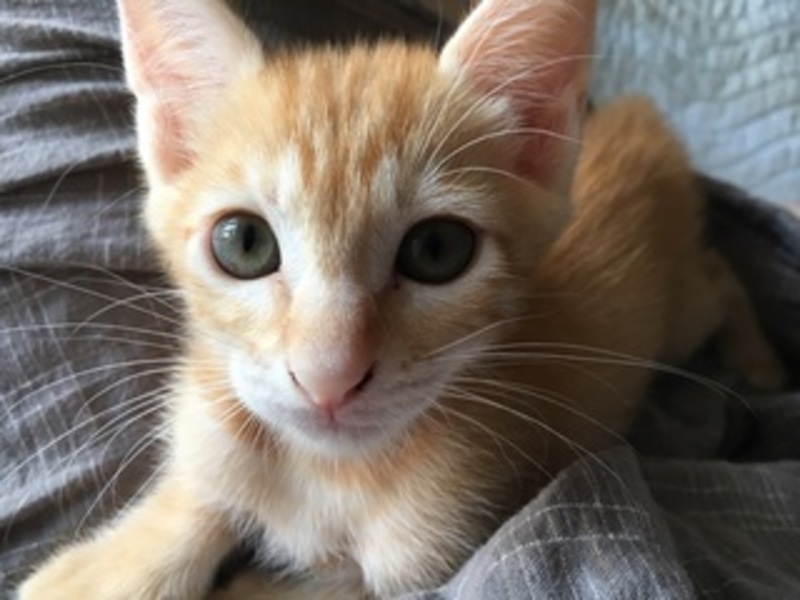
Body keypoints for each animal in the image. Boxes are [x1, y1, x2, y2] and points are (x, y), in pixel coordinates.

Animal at [19, 0, 785, 598]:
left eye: (438, 250)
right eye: (244, 243)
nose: (328, 378)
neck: (323, 469)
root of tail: (631, 118)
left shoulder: (427, 557)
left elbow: (321, 585)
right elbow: (200, 498)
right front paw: (110, 564)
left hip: (679, 312)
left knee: (716, 272)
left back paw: (757, 359)